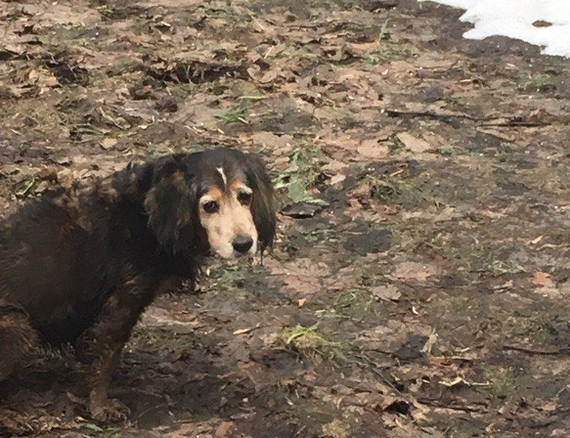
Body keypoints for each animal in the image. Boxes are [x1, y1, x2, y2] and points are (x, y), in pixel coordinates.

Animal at [0, 147, 272, 420]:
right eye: (209, 205)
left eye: (245, 197)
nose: (244, 244)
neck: (148, 214)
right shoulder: (122, 302)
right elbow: (106, 358)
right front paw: (100, 406)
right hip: (20, 327)